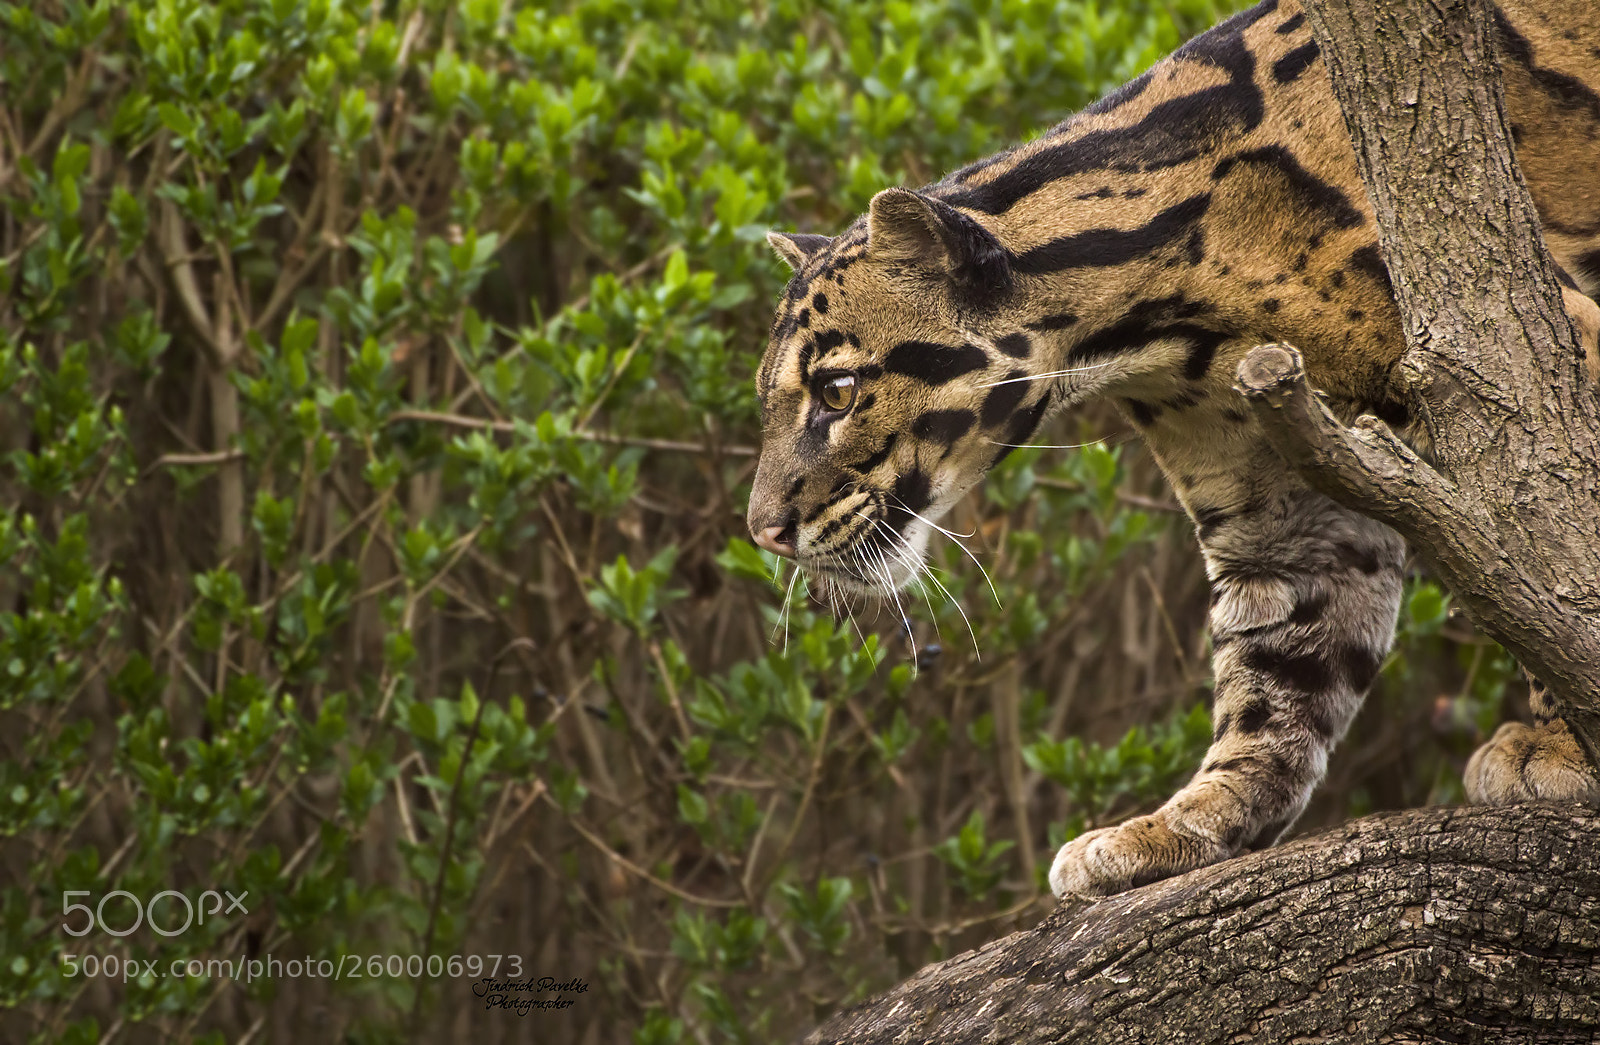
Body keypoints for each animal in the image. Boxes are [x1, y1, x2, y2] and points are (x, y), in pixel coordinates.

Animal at [745, 0, 1600, 899]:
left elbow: (1553, 523)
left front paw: (1561, 749)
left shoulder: (1526, 352)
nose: (761, 530)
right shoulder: (1283, 515)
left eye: (838, 390)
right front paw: (1181, 823)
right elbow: (1277, 677)